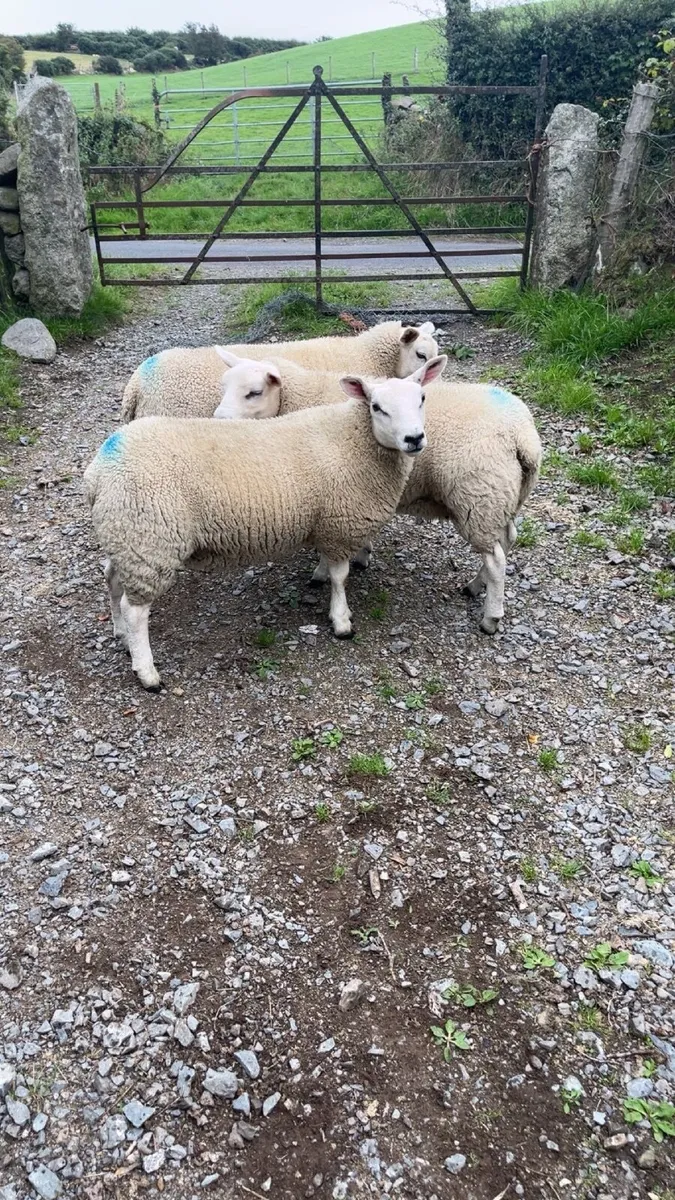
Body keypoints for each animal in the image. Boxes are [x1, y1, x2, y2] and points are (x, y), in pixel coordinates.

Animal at [84, 362, 438, 691]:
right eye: (377, 407)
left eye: (422, 399)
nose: (414, 439)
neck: (354, 439)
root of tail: (98, 471)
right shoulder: (341, 524)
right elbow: (341, 578)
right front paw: (341, 621)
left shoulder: (327, 522)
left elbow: (327, 565)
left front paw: (320, 577)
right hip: (149, 541)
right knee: (135, 610)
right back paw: (147, 672)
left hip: (127, 538)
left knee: (112, 580)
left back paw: (120, 635)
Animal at [212, 359, 542, 634]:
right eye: (224, 386)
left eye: (254, 392)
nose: (220, 419)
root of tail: (523, 435)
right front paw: (361, 555)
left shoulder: (337, 495)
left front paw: (326, 574)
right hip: (503, 497)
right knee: (506, 542)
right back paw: (476, 585)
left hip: (479, 498)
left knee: (496, 559)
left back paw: (490, 617)